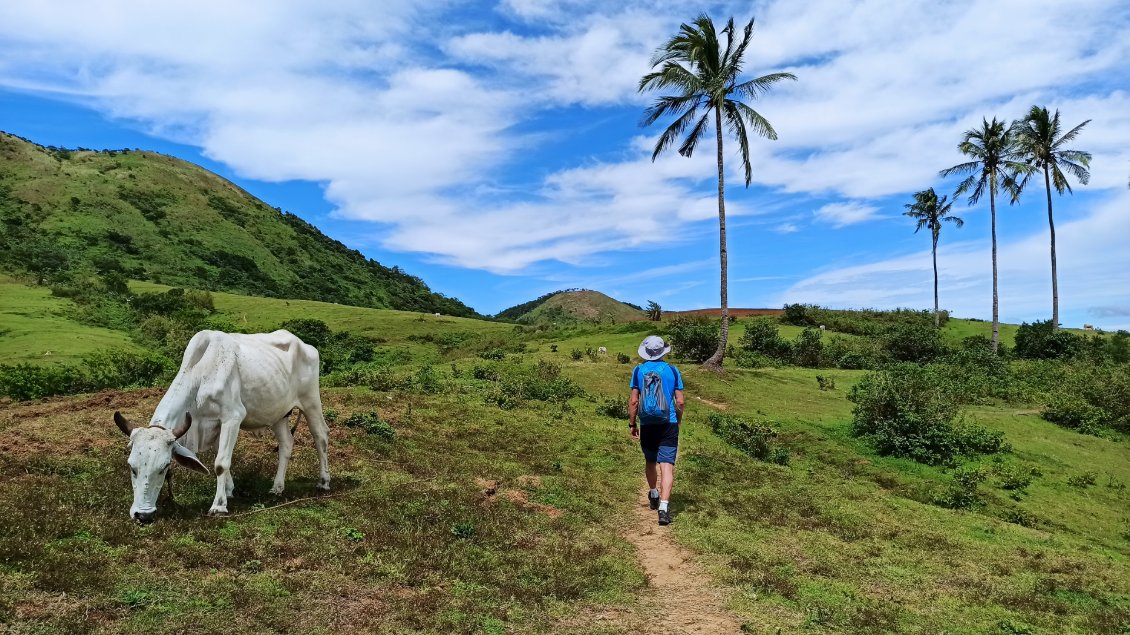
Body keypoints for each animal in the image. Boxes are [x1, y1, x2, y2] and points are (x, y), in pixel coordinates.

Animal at [113, 327, 329, 522]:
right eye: (132, 467)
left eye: (164, 467)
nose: (143, 515)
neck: (200, 375)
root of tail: (306, 346)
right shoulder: (214, 424)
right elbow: (221, 458)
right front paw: (229, 490)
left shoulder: (232, 417)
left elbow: (221, 463)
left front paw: (218, 505)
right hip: (278, 413)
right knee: (286, 444)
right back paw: (277, 487)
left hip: (310, 402)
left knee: (321, 436)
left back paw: (324, 482)